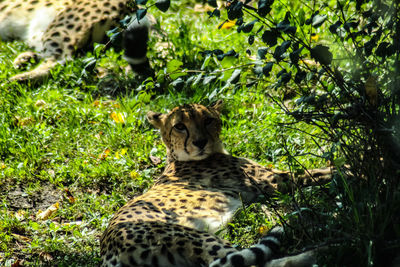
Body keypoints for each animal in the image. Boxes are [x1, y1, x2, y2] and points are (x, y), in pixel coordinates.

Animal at [100, 101, 332, 267]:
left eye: (208, 120)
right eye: (179, 126)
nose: (200, 142)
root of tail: (108, 248)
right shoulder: (271, 181)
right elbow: (316, 172)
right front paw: (339, 167)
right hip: (194, 237)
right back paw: (321, 251)